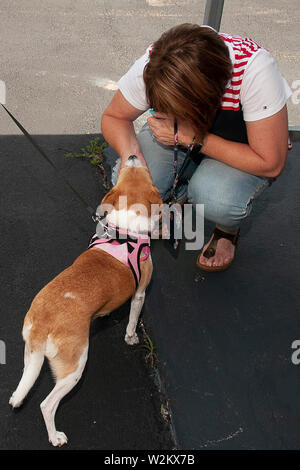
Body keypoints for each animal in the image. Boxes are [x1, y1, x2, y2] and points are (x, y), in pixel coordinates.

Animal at [8, 156, 162, 446]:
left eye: (127, 171)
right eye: (147, 171)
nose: (132, 156)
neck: (125, 229)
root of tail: (44, 321)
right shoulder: (139, 293)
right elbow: (133, 320)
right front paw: (131, 337)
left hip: (31, 356)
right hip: (75, 366)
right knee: (47, 405)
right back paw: (55, 436)